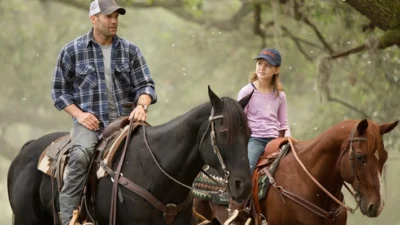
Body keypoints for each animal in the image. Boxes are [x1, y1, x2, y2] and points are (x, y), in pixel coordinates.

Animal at [7, 86, 253, 225]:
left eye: (250, 132)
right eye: (223, 133)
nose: (243, 185)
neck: (156, 172)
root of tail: (26, 149)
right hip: (26, 220)